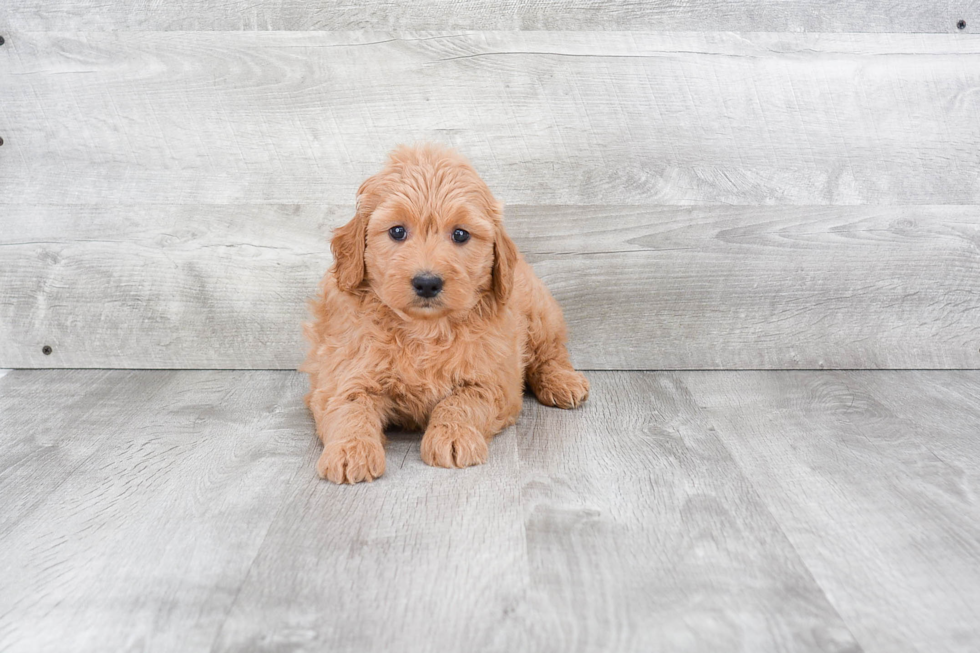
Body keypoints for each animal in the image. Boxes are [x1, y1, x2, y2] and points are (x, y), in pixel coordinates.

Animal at [302, 145, 584, 482]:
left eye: (460, 235)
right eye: (397, 231)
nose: (427, 282)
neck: (424, 329)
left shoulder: (492, 380)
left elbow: (461, 401)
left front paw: (452, 435)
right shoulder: (345, 373)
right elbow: (349, 407)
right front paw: (350, 450)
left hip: (541, 311)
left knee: (551, 352)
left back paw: (563, 382)